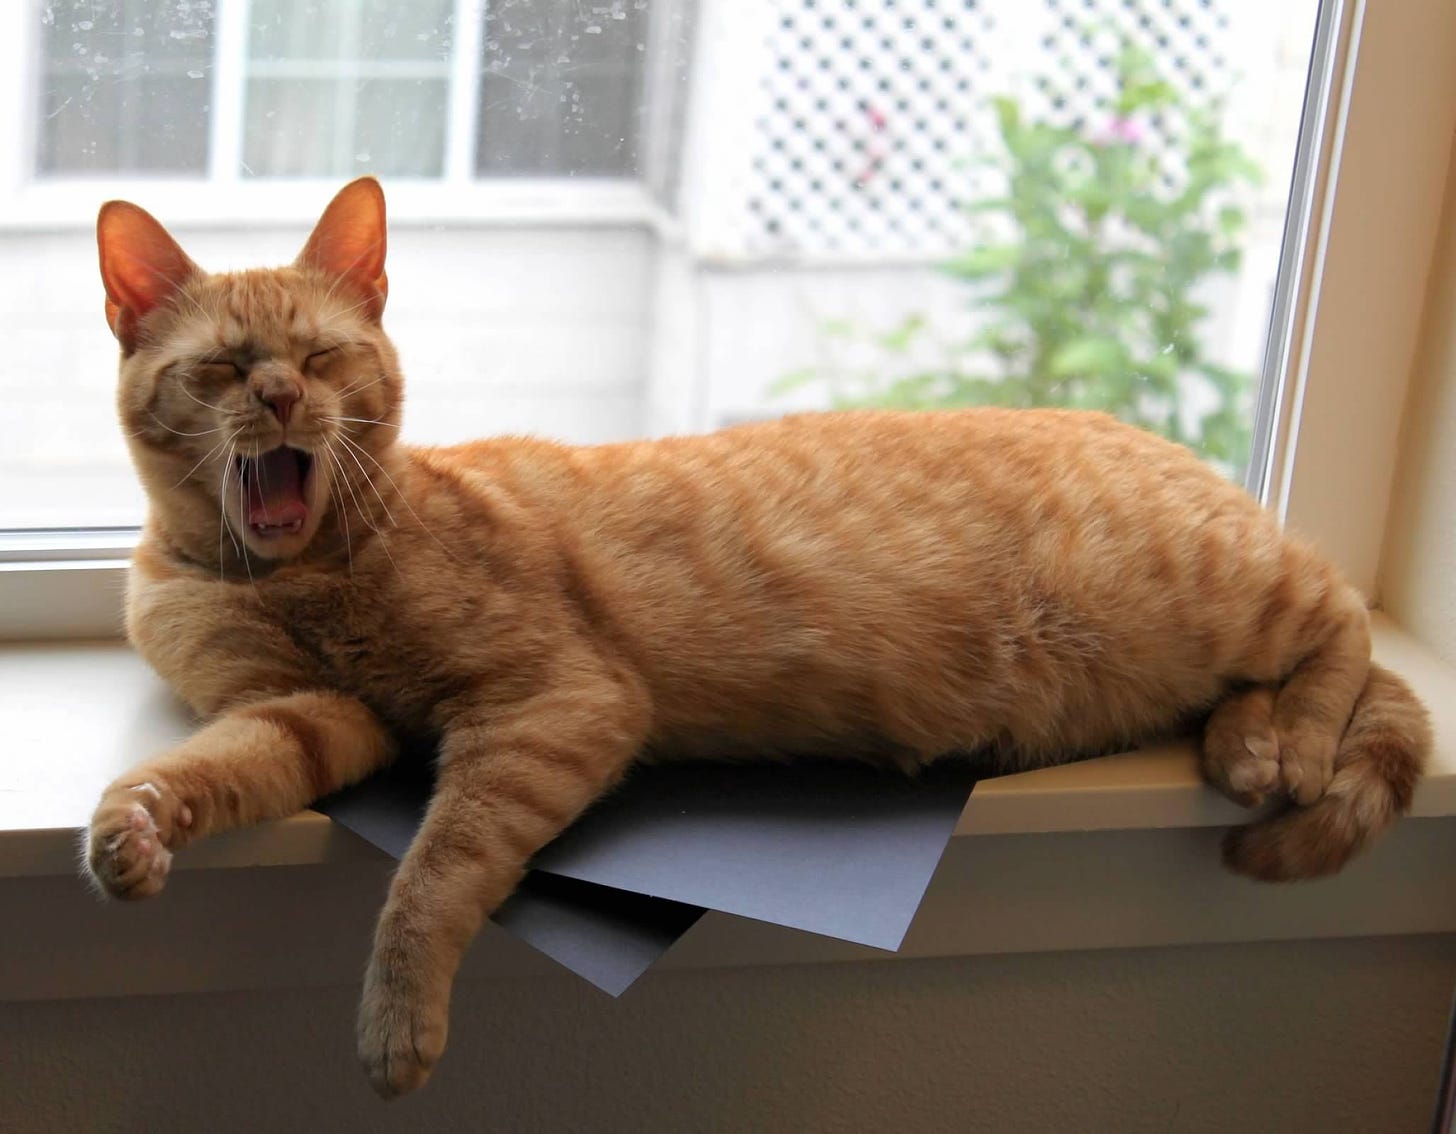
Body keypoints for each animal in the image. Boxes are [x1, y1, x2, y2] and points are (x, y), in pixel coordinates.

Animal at [82, 177, 1432, 1100]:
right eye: (223, 369)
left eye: (320, 354)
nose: (280, 400)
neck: (298, 575)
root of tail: (1157, 441)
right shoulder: (308, 717)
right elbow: (214, 769)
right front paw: (133, 829)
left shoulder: (551, 706)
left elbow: (431, 875)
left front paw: (397, 1024)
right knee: (1287, 674)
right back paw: (1250, 745)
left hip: (1213, 586)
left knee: (1339, 624)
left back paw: (1294, 740)